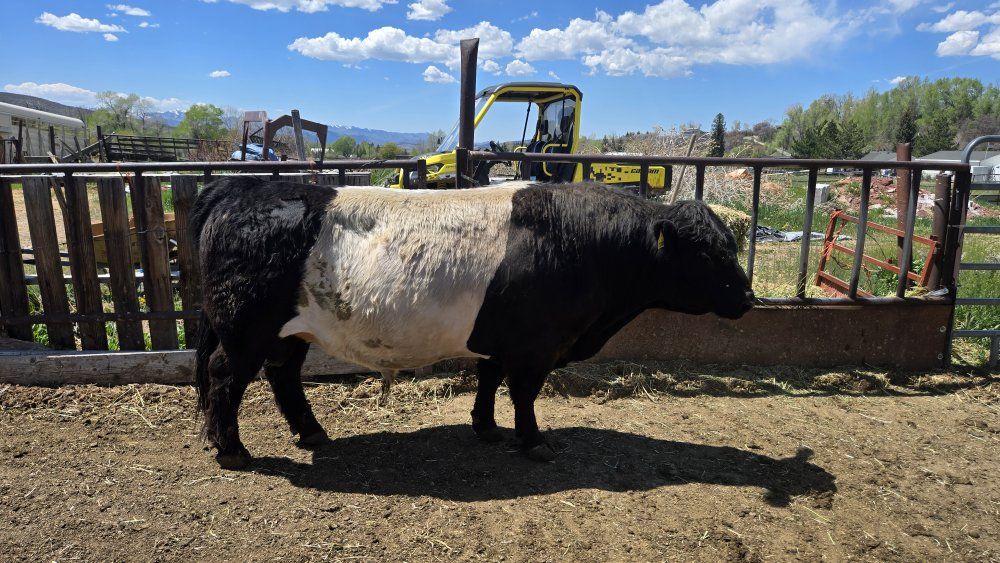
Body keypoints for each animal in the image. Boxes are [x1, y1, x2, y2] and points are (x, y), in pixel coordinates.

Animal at [190, 177, 754, 469]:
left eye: (731, 243)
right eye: (707, 253)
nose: (749, 297)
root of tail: (241, 190)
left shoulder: (503, 341)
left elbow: (489, 378)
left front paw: (485, 427)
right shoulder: (537, 345)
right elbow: (523, 393)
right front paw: (533, 441)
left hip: (290, 332)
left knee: (283, 374)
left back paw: (311, 433)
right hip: (243, 330)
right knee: (224, 376)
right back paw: (232, 450)